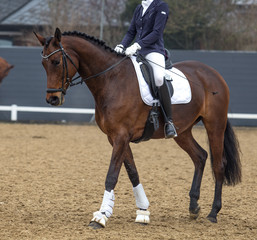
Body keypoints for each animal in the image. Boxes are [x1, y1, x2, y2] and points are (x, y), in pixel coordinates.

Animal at [34, 28, 240, 229]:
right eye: (43, 64)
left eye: (56, 61)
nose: (52, 99)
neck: (111, 80)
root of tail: (212, 73)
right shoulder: (115, 137)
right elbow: (132, 172)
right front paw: (142, 211)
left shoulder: (121, 136)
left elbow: (112, 175)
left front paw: (100, 217)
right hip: (182, 131)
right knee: (200, 156)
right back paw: (193, 207)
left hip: (215, 125)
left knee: (218, 164)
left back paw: (213, 213)